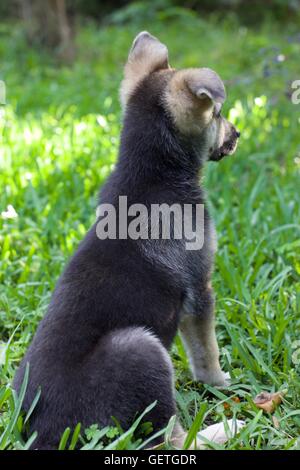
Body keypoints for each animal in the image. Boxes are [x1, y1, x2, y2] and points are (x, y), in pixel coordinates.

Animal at [14, 31, 240, 450]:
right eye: (217, 115)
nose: (236, 135)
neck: (152, 172)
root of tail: (45, 435)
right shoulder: (200, 289)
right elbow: (206, 352)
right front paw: (221, 383)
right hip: (140, 349)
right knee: (169, 439)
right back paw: (225, 429)